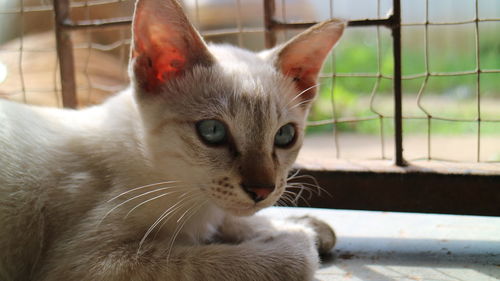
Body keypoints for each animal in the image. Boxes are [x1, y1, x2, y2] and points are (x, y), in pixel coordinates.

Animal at [0, 0, 344, 278]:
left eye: (285, 135)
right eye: (212, 131)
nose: (262, 190)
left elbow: (232, 221)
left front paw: (303, 224)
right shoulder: (90, 262)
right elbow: (218, 261)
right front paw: (296, 238)